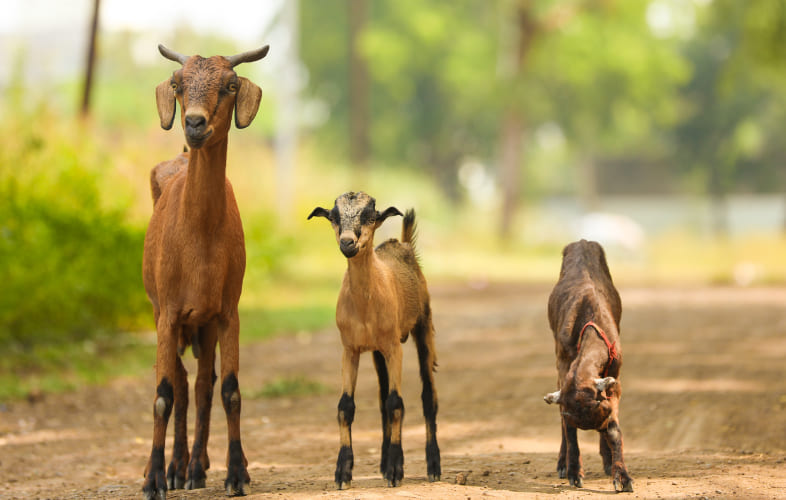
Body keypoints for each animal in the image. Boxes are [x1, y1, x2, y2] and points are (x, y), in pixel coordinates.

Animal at [141, 43, 269, 500]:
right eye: (177, 84)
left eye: (230, 85)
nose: (194, 124)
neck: (197, 234)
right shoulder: (168, 313)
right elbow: (163, 394)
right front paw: (155, 479)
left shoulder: (227, 311)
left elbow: (229, 390)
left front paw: (236, 473)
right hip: (166, 314)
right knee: (180, 384)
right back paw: (175, 468)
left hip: (206, 322)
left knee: (201, 385)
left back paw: (196, 466)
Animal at [308, 192, 441, 489]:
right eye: (334, 217)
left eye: (370, 216)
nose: (347, 242)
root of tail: (402, 243)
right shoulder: (350, 348)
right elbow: (346, 406)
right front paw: (343, 473)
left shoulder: (393, 347)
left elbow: (396, 404)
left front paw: (395, 471)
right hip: (377, 352)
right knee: (382, 399)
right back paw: (384, 462)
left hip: (423, 325)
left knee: (428, 396)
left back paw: (433, 466)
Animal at [543, 239, 633, 493]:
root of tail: (582, 241)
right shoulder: (563, 367)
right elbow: (567, 428)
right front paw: (573, 470)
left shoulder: (614, 377)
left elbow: (615, 432)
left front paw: (620, 474)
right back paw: (563, 463)